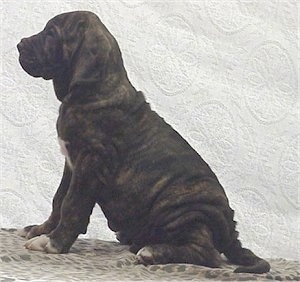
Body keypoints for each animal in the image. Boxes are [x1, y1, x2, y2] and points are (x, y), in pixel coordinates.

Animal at [15, 11, 270, 274]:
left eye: (51, 34)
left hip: (184, 210)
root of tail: (230, 230)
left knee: (208, 256)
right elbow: (59, 199)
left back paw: (152, 252)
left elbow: (72, 205)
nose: (19, 45)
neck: (94, 89)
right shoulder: (72, 163)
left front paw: (54, 243)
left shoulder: (90, 162)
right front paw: (41, 230)